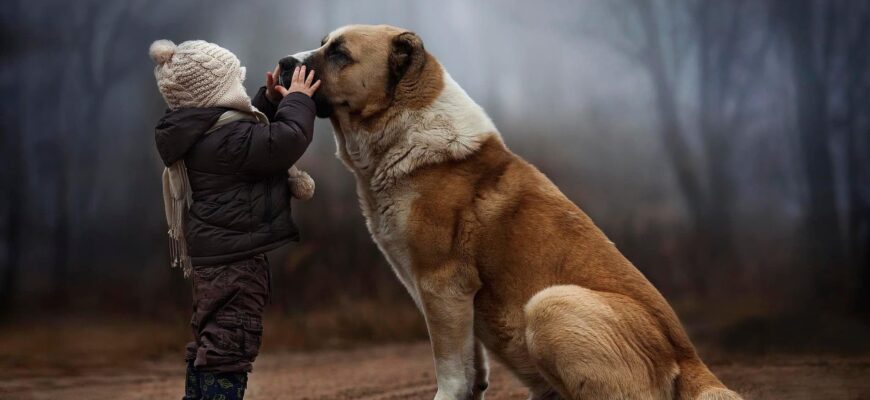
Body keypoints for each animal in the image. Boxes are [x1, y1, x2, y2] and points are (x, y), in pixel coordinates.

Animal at [282, 25, 744, 400]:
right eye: (323, 44)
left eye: (340, 53)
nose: (285, 63)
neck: (404, 130)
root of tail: (691, 360)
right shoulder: (453, 297)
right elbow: (471, 363)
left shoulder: (441, 283)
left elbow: (449, 367)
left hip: (550, 305)